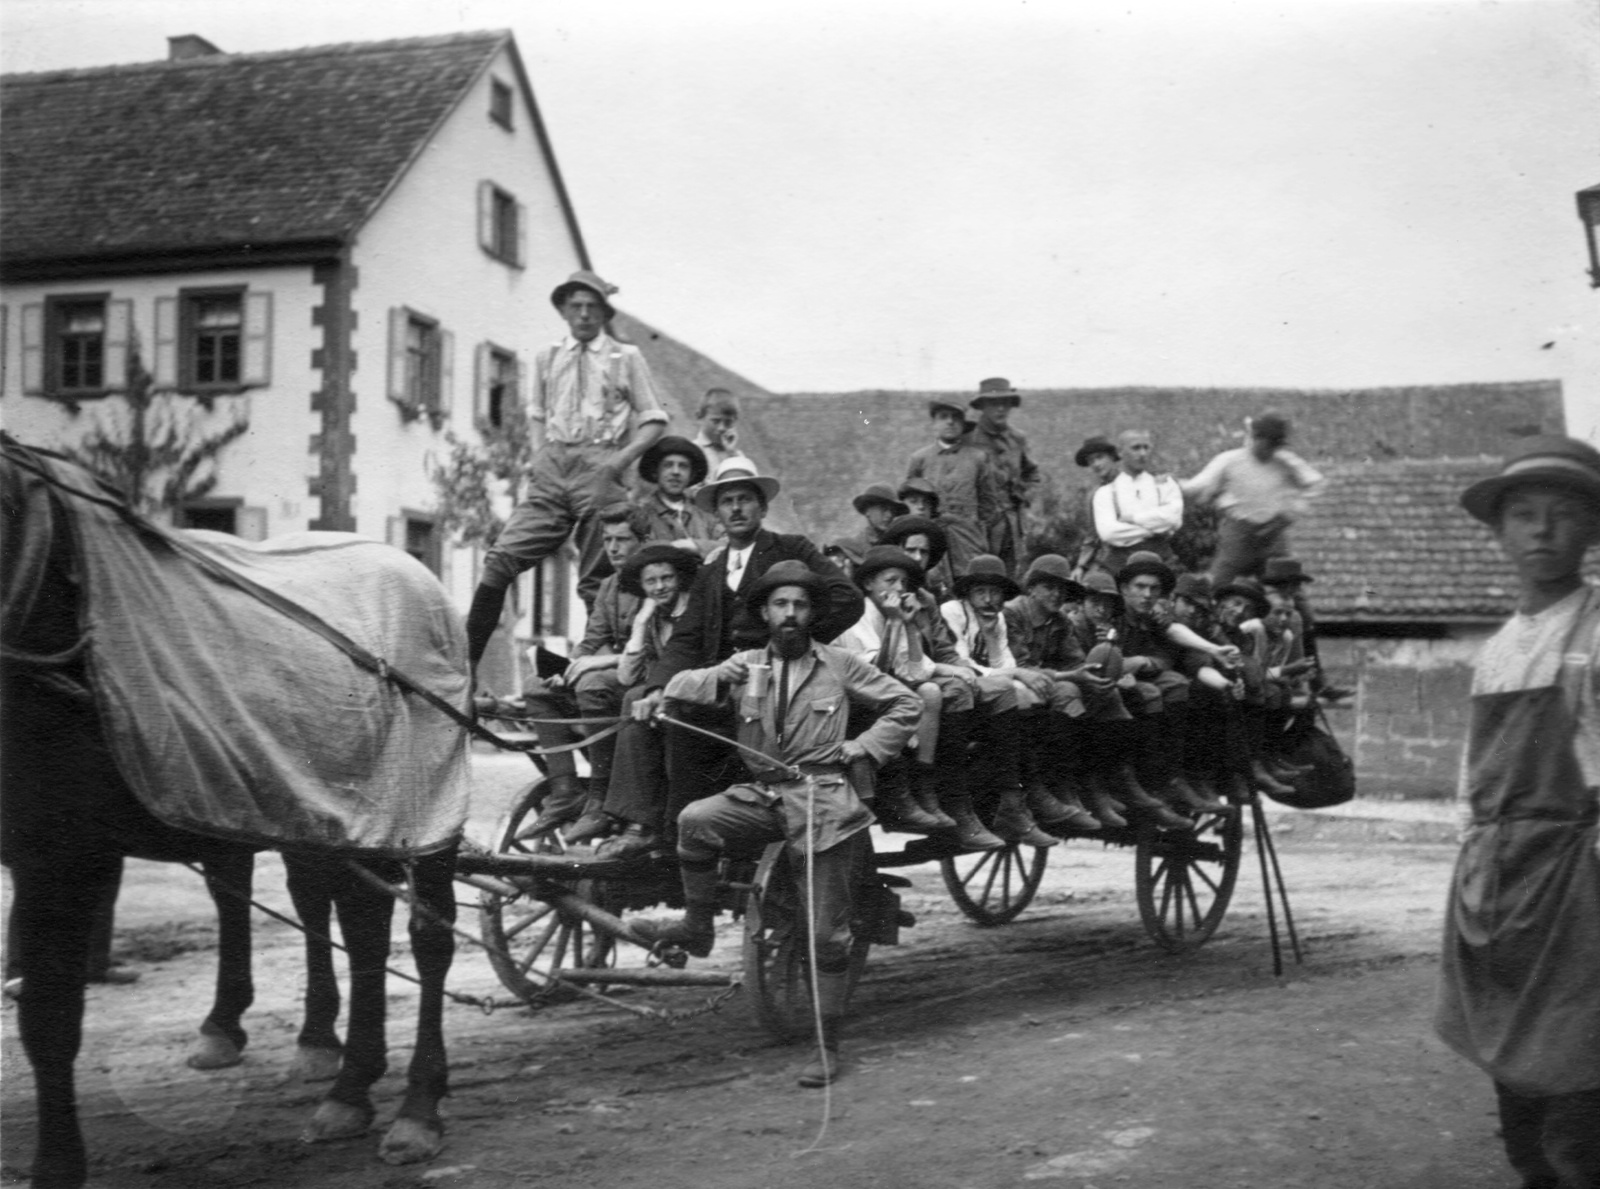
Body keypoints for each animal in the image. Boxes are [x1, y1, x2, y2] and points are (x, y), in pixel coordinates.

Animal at [3, 438, 467, 1189]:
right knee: (362, 928)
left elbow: (50, 1017)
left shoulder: (64, 853)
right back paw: (349, 1086)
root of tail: (415, 573)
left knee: (429, 938)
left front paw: (57, 1164)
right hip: (347, 814)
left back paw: (418, 1107)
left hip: (427, 809)